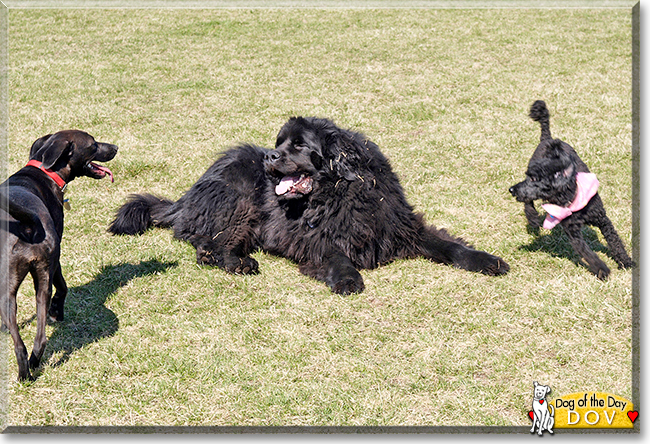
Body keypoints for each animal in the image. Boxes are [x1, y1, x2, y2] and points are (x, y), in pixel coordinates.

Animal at [110, 116, 506, 294]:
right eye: (279, 143)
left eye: (299, 146)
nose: (269, 156)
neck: (339, 192)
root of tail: (187, 195)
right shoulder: (313, 237)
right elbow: (336, 254)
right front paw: (348, 279)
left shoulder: (398, 225)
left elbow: (447, 244)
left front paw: (487, 260)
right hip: (239, 199)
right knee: (208, 240)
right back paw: (236, 262)